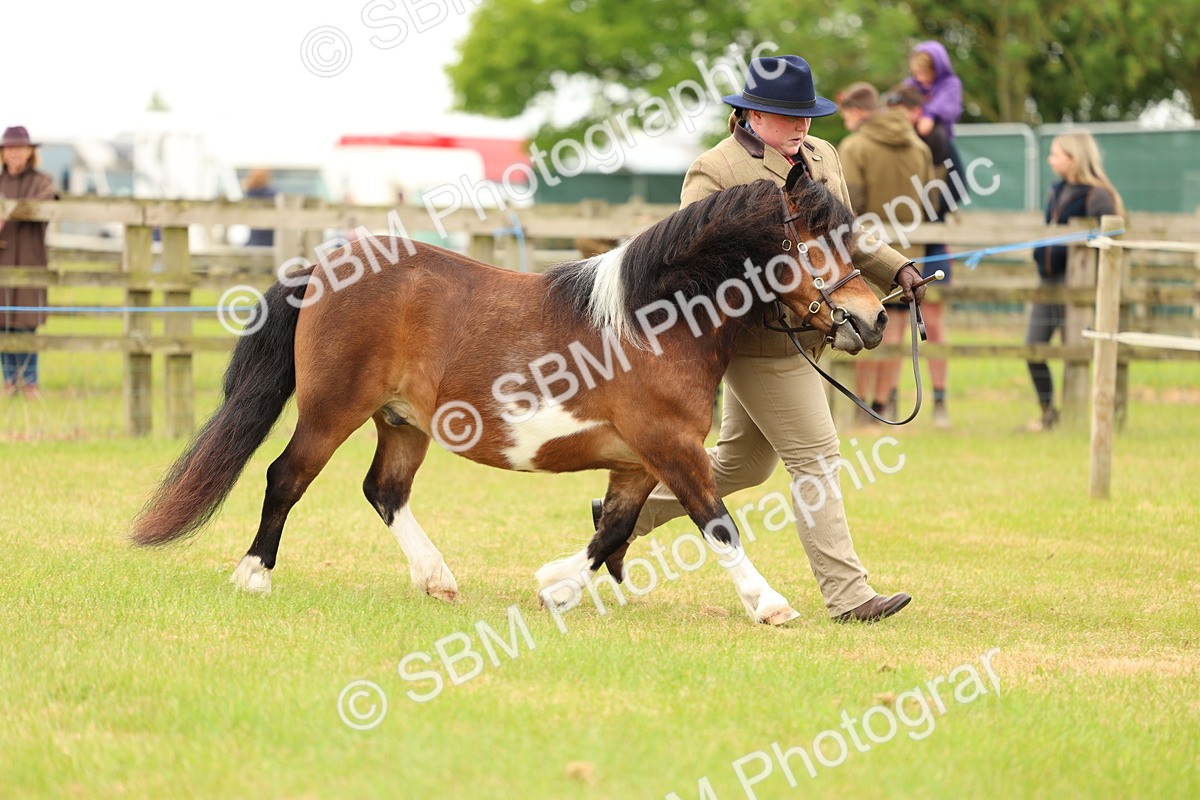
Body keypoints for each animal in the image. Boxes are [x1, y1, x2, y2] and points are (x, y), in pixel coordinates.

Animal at [131, 165, 887, 625]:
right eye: (813, 240)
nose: (873, 318)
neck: (653, 320)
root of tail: (324, 265)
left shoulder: (638, 462)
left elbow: (612, 529)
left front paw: (557, 584)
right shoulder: (671, 449)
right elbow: (718, 523)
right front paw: (771, 604)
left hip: (402, 421)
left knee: (384, 491)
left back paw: (436, 578)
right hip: (331, 410)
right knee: (285, 477)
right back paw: (253, 575)